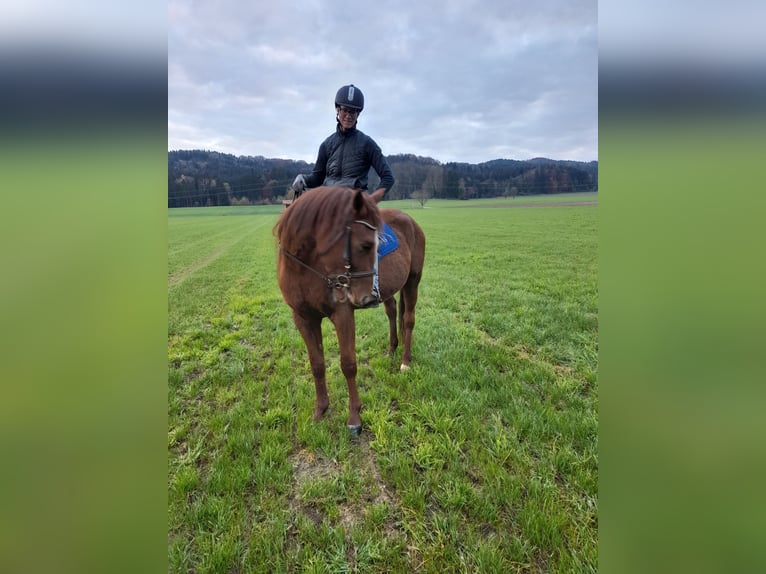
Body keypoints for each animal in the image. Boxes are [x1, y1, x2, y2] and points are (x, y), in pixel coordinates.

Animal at [272, 188, 426, 436]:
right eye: (365, 245)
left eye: (375, 244)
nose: (368, 297)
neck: (307, 268)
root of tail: (410, 221)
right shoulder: (304, 318)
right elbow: (317, 364)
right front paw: (320, 410)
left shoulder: (343, 315)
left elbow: (348, 364)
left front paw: (354, 417)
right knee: (393, 311)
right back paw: (392, 350)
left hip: (413, 281)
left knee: (408, 320)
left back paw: (405, 361)